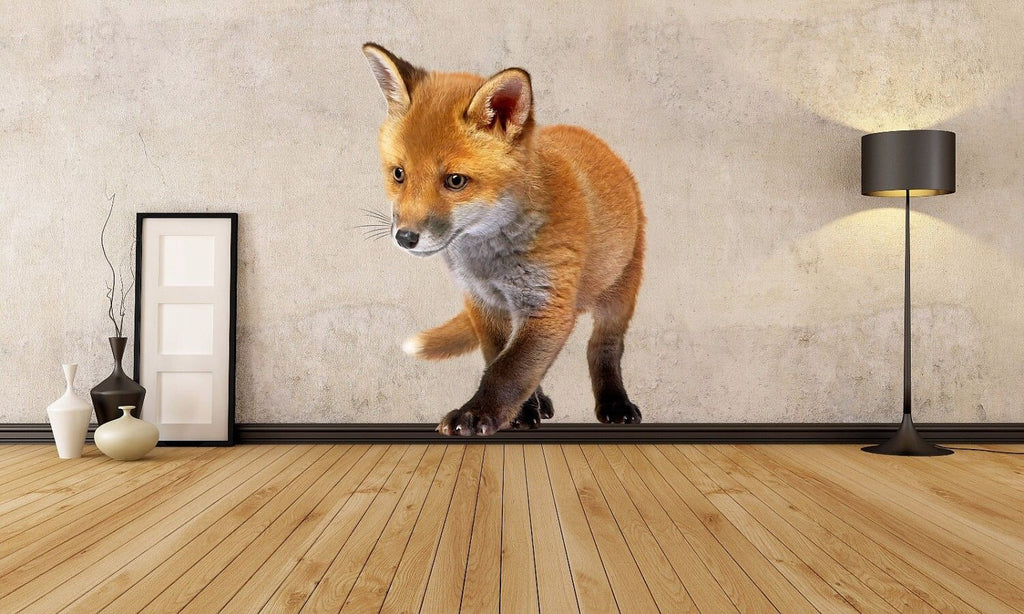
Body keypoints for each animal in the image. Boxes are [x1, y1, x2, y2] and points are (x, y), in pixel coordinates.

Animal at [362, 43, 646, 436]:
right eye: (399, 174)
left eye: (455, 181)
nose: (406, 237)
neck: (490, 259)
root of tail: (594, 139)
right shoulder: (484, 302)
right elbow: (499, 358)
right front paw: (521, 413)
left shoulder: (549, 305)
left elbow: (508, 371)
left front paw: (475, 415)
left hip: (620, 290)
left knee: (603, 347)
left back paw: (614, 404)